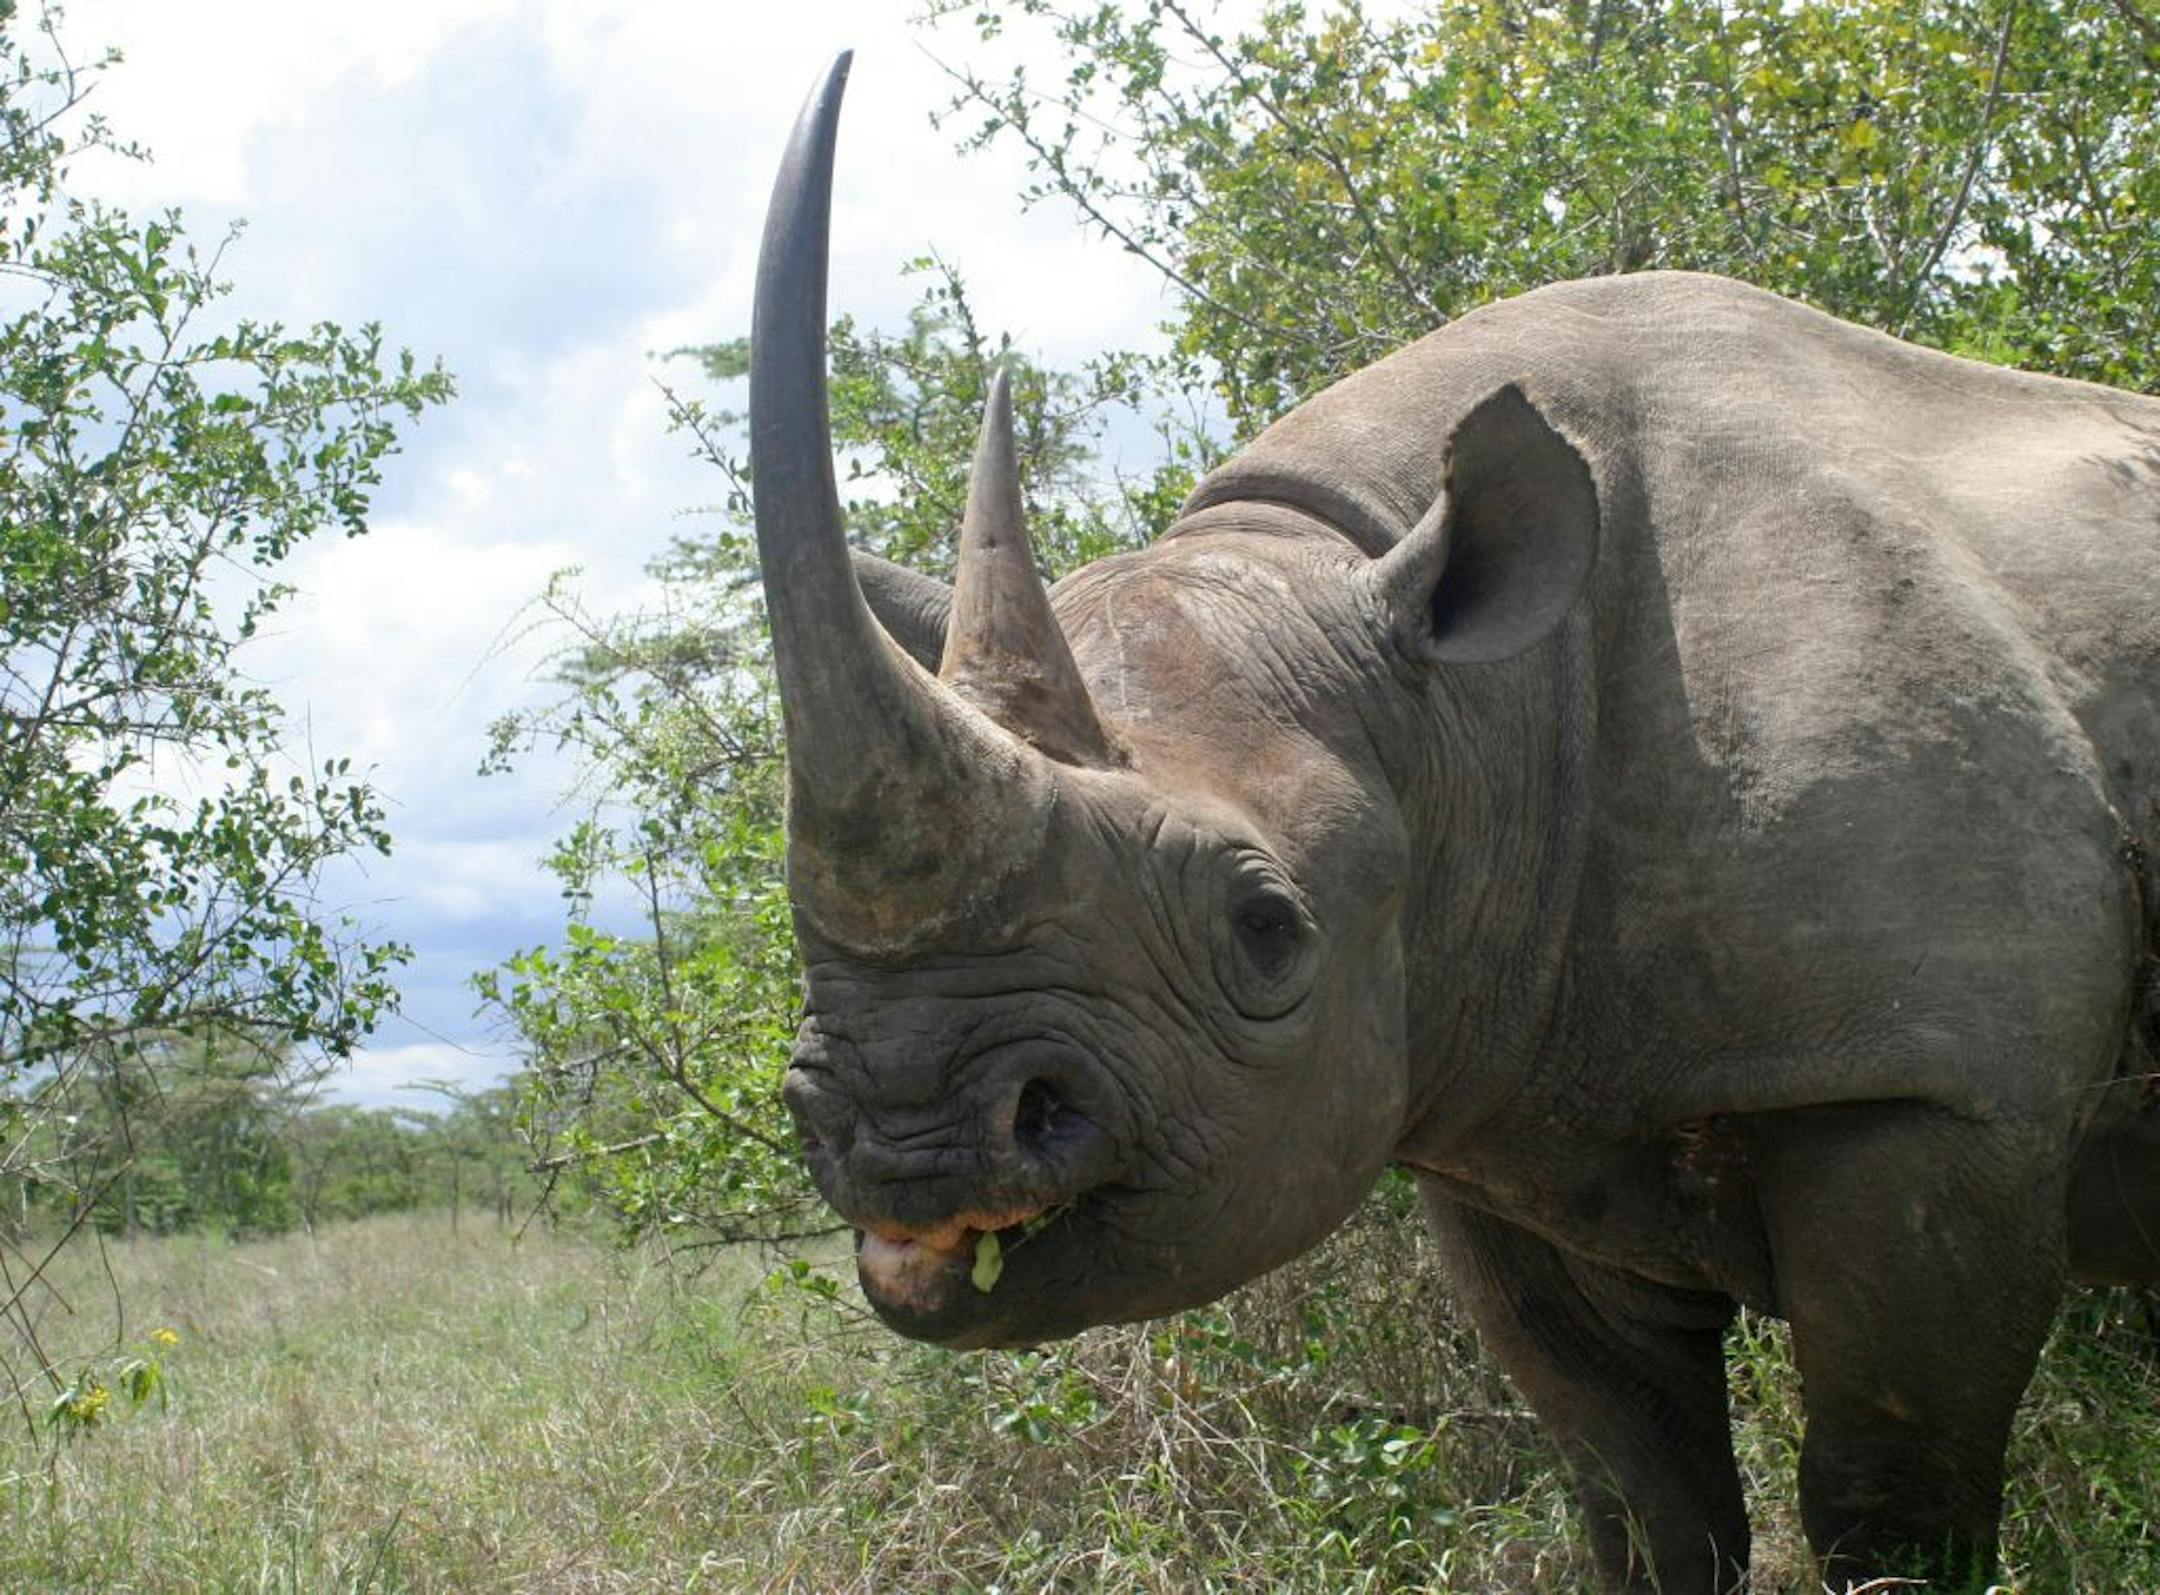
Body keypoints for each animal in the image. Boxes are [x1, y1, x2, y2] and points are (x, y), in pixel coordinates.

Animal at [750, 55, 2160, 1591]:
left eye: (1268, 929)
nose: (905, 1134)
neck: (1455, 699)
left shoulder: (1931, 1082)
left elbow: (1891, 1498)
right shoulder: (1504, 1105)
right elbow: (1639, 1487)